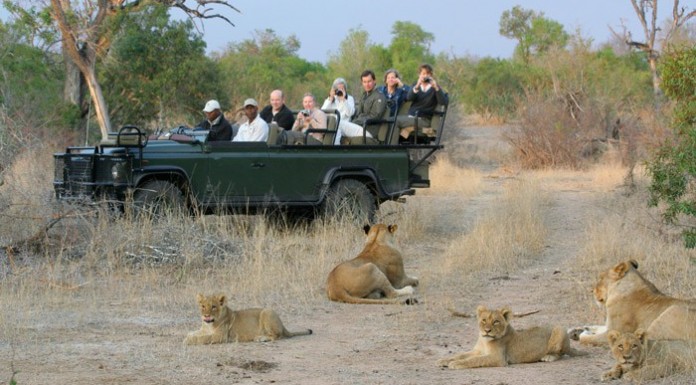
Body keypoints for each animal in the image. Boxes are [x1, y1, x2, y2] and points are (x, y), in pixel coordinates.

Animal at [184, 292, 312, 344]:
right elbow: (194, 332)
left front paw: (188, 341)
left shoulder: (220, 336)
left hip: (267, 311)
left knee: (278, 336)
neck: (209, 324)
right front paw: (188, 336)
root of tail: (283, 325)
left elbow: (204, 338)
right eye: (203, 306)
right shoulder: (204, 330)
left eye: (213, 307)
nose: (206, 315)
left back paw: (261, 338)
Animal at [438, 304, 584, 368]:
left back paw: (548, 357)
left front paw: (456, 364)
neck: (485, 341)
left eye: (496, 321)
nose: (487, 330)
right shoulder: (477, 351)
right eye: (484, 320)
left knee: (561, 354)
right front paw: (444, 360)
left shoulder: (498, 358)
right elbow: (460, 354)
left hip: (560, 330)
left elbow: (474, 360)